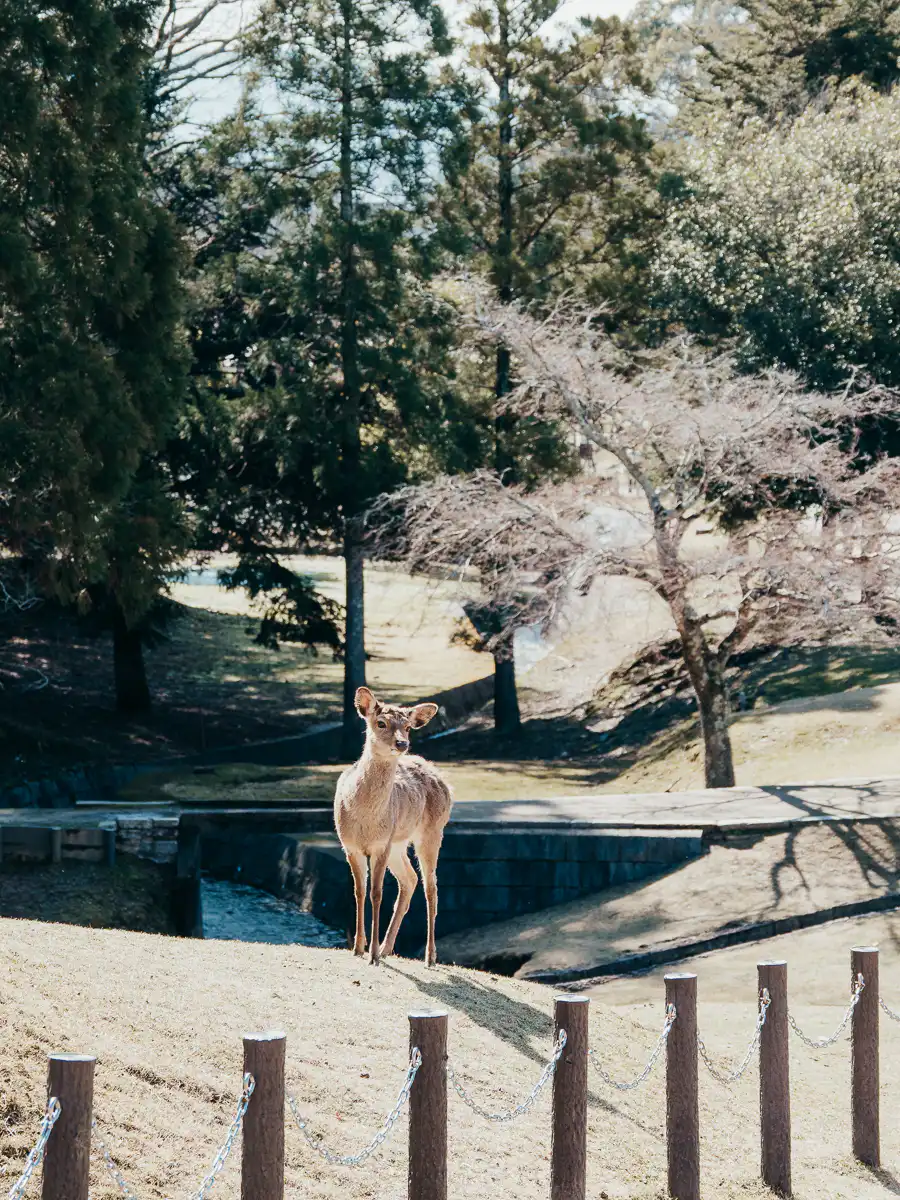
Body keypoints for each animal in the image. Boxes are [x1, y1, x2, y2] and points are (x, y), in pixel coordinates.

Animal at [333, 686, 452, 966]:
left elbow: (376, 893)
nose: (402, 744)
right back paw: (388, 947)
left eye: (408, 727)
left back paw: (429, 956)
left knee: (431, 886)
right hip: (398, 842)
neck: (365, 820)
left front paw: (372, 955)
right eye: (381, 723)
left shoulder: (381, 845)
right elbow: (359, 891)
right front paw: (358, 948)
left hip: (432, 832)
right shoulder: (350, 845)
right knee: (409, 878)